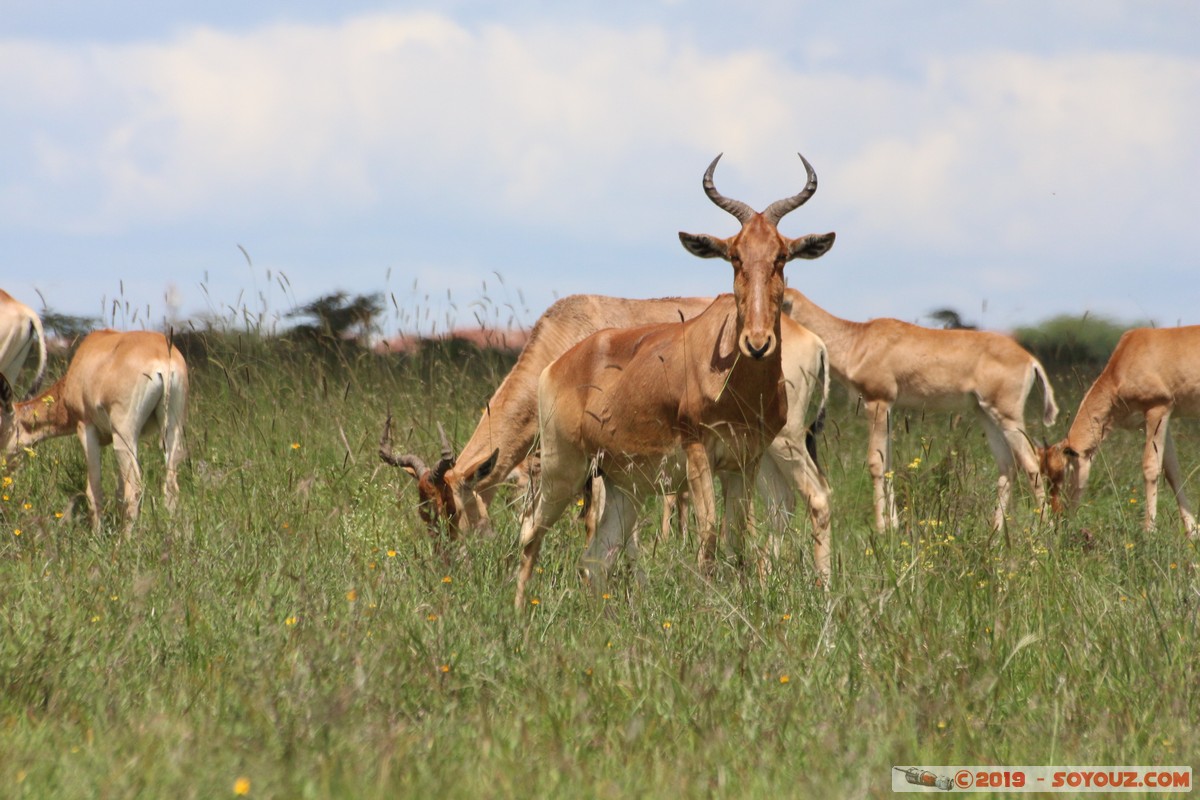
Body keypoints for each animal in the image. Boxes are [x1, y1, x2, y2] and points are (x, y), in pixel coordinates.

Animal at [0, 331, 188, 532]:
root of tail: (163, 357)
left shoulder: (86, 429)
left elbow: (94, 488)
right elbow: (118, 492)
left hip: (124, 437)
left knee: (134, 490)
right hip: (171, 432)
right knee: (171, 487)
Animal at [516, 153, 835, 606]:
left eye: (782, 256)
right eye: (734, 255)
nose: (757, 342)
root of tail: (556, 366)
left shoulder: (745, 461)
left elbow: (740, 535)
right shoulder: (699, 452)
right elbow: (709, 533)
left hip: (623, 484)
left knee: (595, 559)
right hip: (565, 467)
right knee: (531, 530)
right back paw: (519, 612)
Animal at [787, 292, 1060, 532]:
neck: (860, 339)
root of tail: (1030, 360)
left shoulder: (877, 403)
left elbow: (876, 463)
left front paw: (881, 530)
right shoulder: (888, 408)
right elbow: (888, 463)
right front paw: (893, 527)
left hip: (1008, 417)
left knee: (1031, 463)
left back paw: (1044, 531)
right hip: (986, 414)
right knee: (1007, 466)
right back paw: (995, 535)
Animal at [1041, 326, 1200, 537]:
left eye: (1064, 472)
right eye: (1045, 476)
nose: (1059, 520)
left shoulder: (1158, 409)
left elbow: (1150, 467)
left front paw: (1149, 531)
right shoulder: (1158, 421)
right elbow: (1172, 471)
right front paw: (1193, 532)